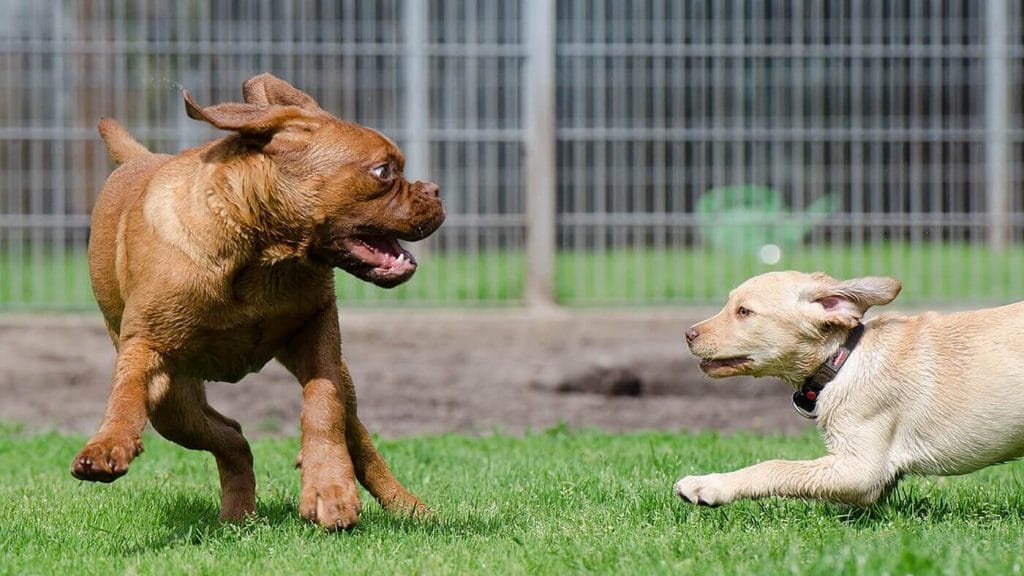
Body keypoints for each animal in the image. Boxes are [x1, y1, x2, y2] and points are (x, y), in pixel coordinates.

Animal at [70, 73, 442, 528]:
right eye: (384, 171)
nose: (435, 190)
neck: (260, 253)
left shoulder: (319, 334)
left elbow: (323, 407)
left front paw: (329, 487)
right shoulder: (146, 348)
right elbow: (124, 396)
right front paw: (107, 444)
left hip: (338, 381)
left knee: (354, 437)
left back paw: (407, 506)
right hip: (173, 405)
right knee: (231, 435)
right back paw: (238, 512)